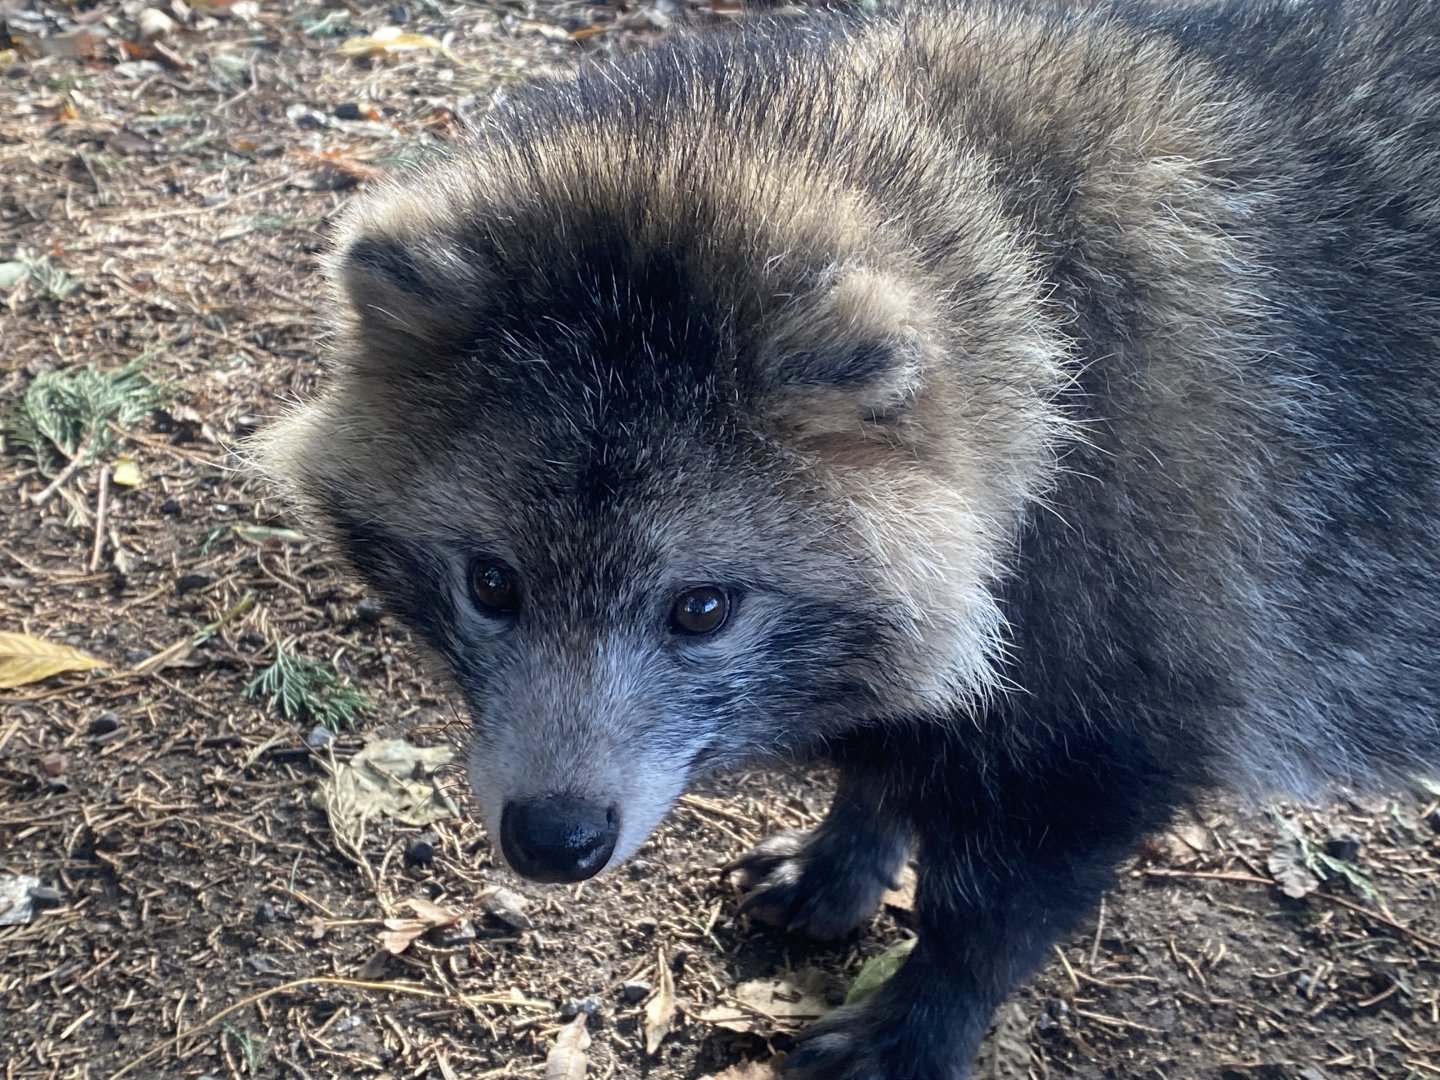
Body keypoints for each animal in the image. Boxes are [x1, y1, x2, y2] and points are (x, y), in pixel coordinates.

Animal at [256, 0, 1440, 1075]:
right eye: (492, 584)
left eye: (703, 609)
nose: (553, 841)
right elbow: (903, 730)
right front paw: (854, 845)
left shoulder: (1128, 644)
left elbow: (1002, 895)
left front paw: (928, 1014)